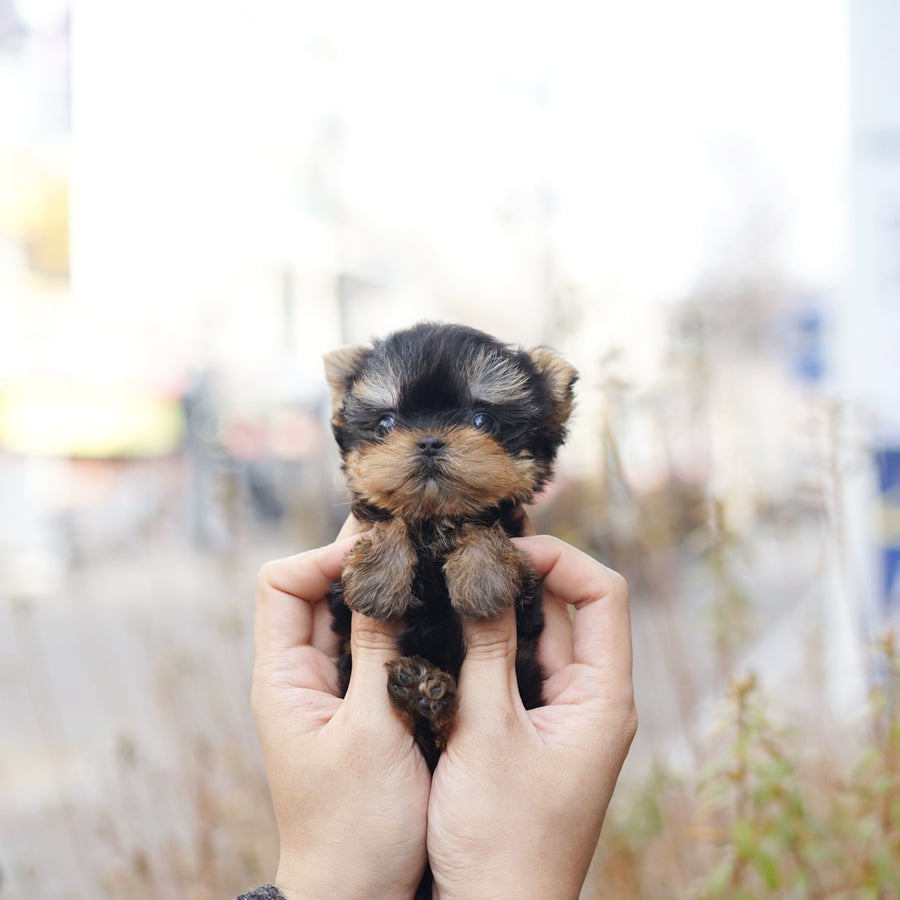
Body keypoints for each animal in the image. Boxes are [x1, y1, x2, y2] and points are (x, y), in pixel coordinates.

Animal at [324, 320, 576, 768]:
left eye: (483, 420)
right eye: (385, 425)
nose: (428, 440)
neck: (436, 520)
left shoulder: (524, 582)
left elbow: (483, 525)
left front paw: (484, 574)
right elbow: (393, 517)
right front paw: (376, 576)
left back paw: (427, 698)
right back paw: (419, 693)